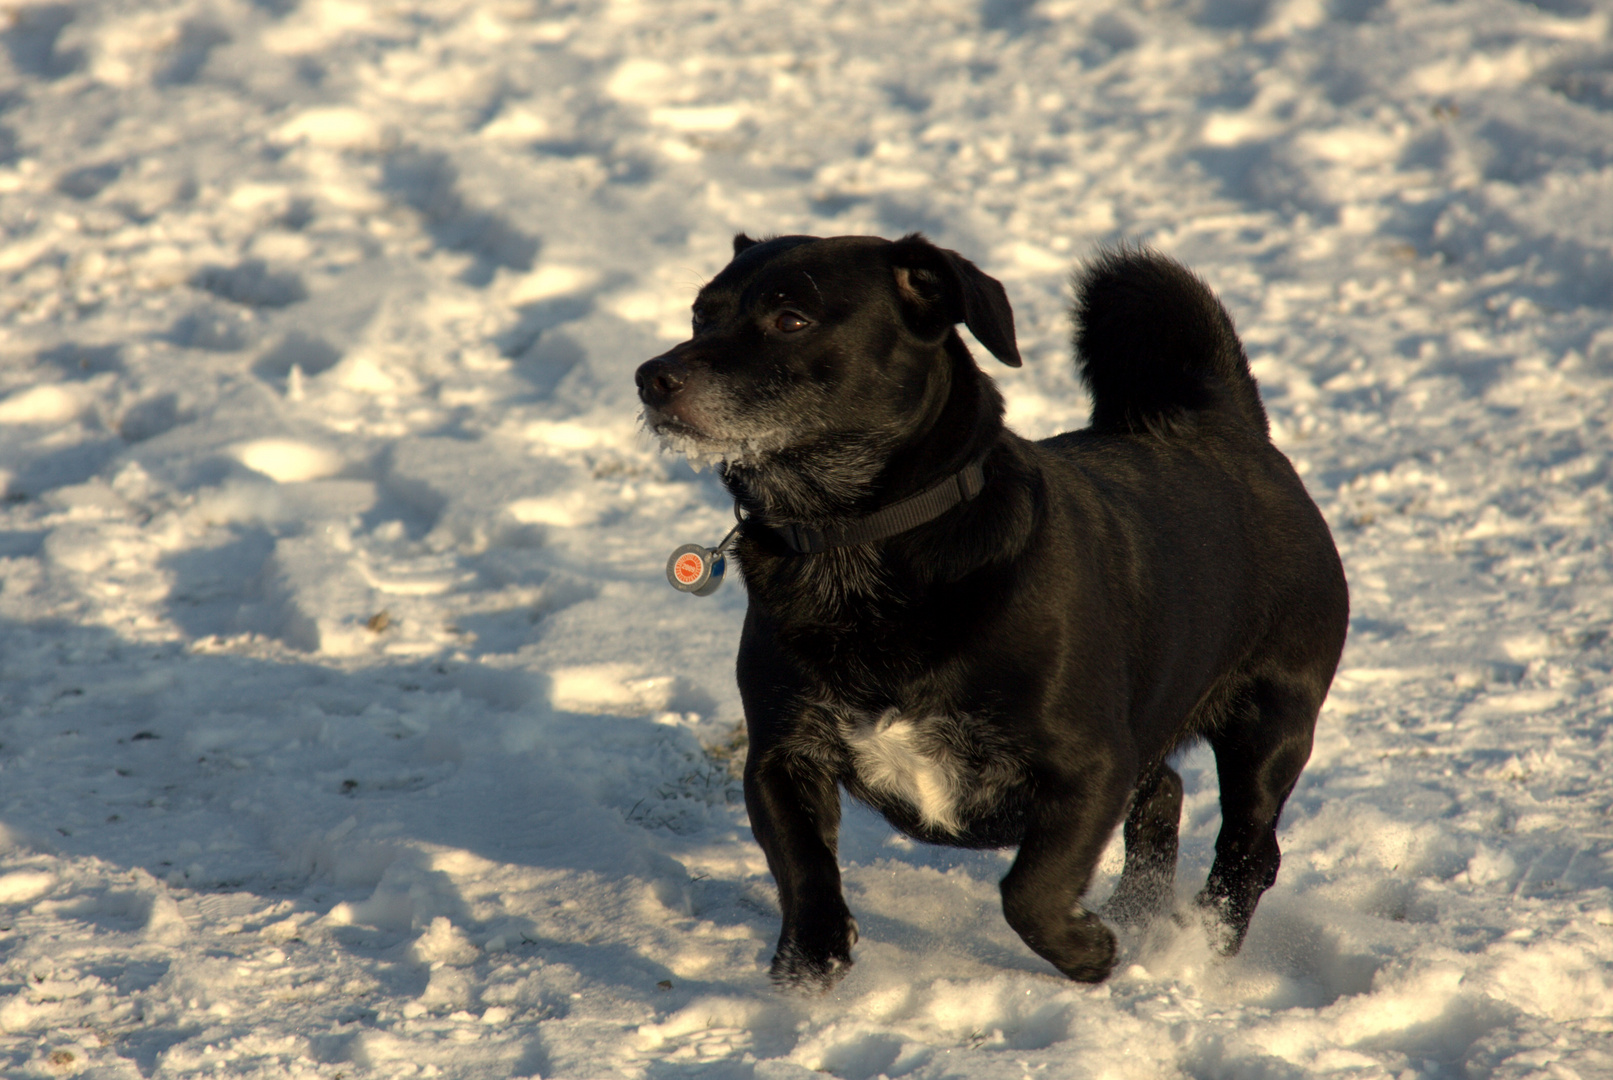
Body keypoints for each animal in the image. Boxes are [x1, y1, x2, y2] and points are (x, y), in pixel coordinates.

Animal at [629, 232, 1348, 992]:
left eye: (790, 319)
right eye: (700, 315)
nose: (652, 377)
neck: (853, 543)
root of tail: (1226, 421)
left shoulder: (1090, 767)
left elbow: (1030, 890)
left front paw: (1087, 951)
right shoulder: (780, 755)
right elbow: (802, 867)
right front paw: (810, 960)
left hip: (1269, 721)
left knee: (1249, 847)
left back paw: (1200, 944)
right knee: (1163, 795)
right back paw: (1136, 915)